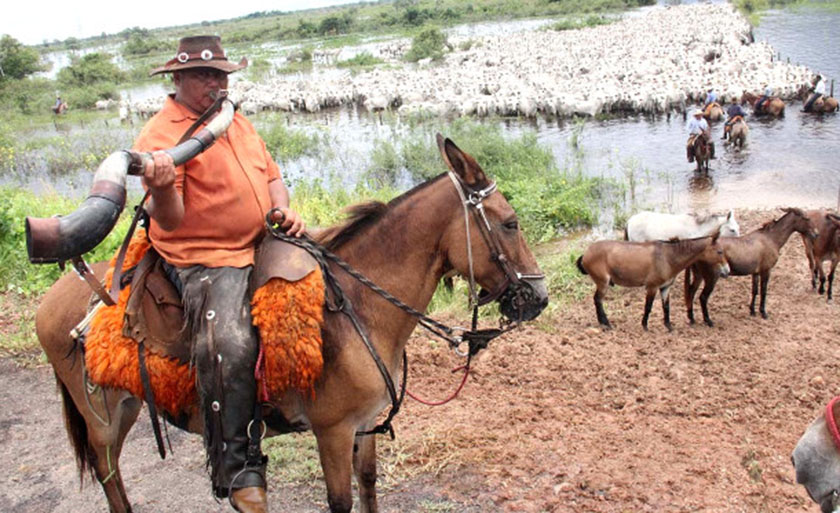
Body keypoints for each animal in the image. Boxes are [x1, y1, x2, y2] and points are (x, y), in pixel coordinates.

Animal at [32, 135, 548, 512]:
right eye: (510, 223)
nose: (539, 297)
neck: (360, 307)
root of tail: (50, 301)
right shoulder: (333, 431)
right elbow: (341, 502)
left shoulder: (365, 426)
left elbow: (369, 486)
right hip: (100, 416)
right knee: (109, 475)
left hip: (128, 406)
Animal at [576, 230, 728, 330]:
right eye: (719, 251)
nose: (726, 271)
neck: (668, 256)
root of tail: (586, 254)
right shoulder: (652, 286)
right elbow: (648, 306)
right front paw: (644, 325)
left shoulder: (665, 287)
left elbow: (666, 307)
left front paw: (668, 325)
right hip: (603, 283)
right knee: (598, 300)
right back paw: (606, 323)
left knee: (597, 300)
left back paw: (603, 322)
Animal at [684, 207, 816, 324]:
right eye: (806, 218)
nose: (816, 234)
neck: (771, 238)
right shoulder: (766, 270)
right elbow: (763, 291)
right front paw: (763, 312)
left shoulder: (755, 273)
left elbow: (755, 291)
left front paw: (752, 311)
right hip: (711, 277)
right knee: (703, 297)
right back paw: (708, 320)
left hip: (699, 275)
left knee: (691, 292)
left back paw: (691, 318)